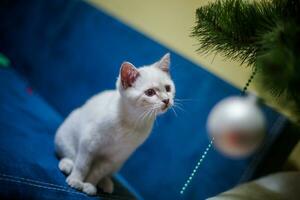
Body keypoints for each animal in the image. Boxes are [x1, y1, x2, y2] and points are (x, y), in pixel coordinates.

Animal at [55, 53, 175, 195]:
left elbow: (97, 171)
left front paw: (89, 185)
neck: (131, 122)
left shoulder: (115, 157)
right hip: (66, 135)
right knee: (69, 155)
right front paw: (76, 180)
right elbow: (82, 165)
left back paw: (106, 183)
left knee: (106, 173)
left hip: (118, 164)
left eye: (168, 88)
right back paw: (67, 165)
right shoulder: (88, 143)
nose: (166, 100)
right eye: (150, 92)